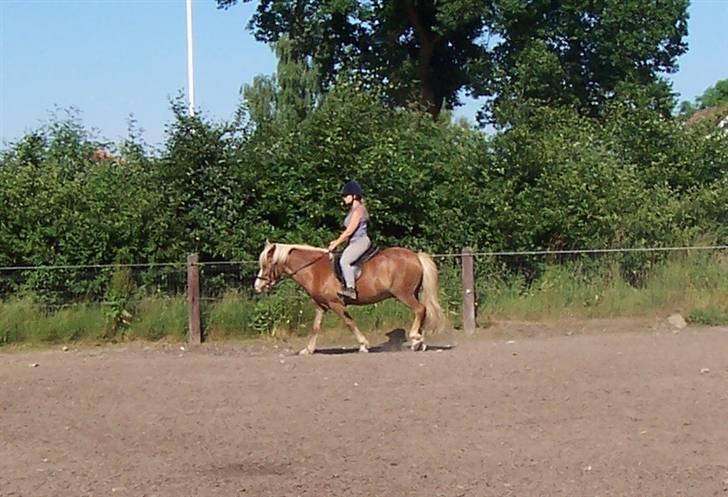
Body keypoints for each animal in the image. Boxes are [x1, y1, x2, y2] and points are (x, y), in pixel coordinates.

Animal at [256, 241, 450, 352]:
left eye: (266, 264)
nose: (257, 286)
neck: (315, 269)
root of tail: (415, 256)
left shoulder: (336, 304)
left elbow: (349, 323)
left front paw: (363, 344)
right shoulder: (321, 305)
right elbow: (316, 327)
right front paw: (308, 350)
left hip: (404, 294)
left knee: (420, 309)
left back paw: (415, 338)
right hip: (413, 293)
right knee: (422, 312)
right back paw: (419, 342)